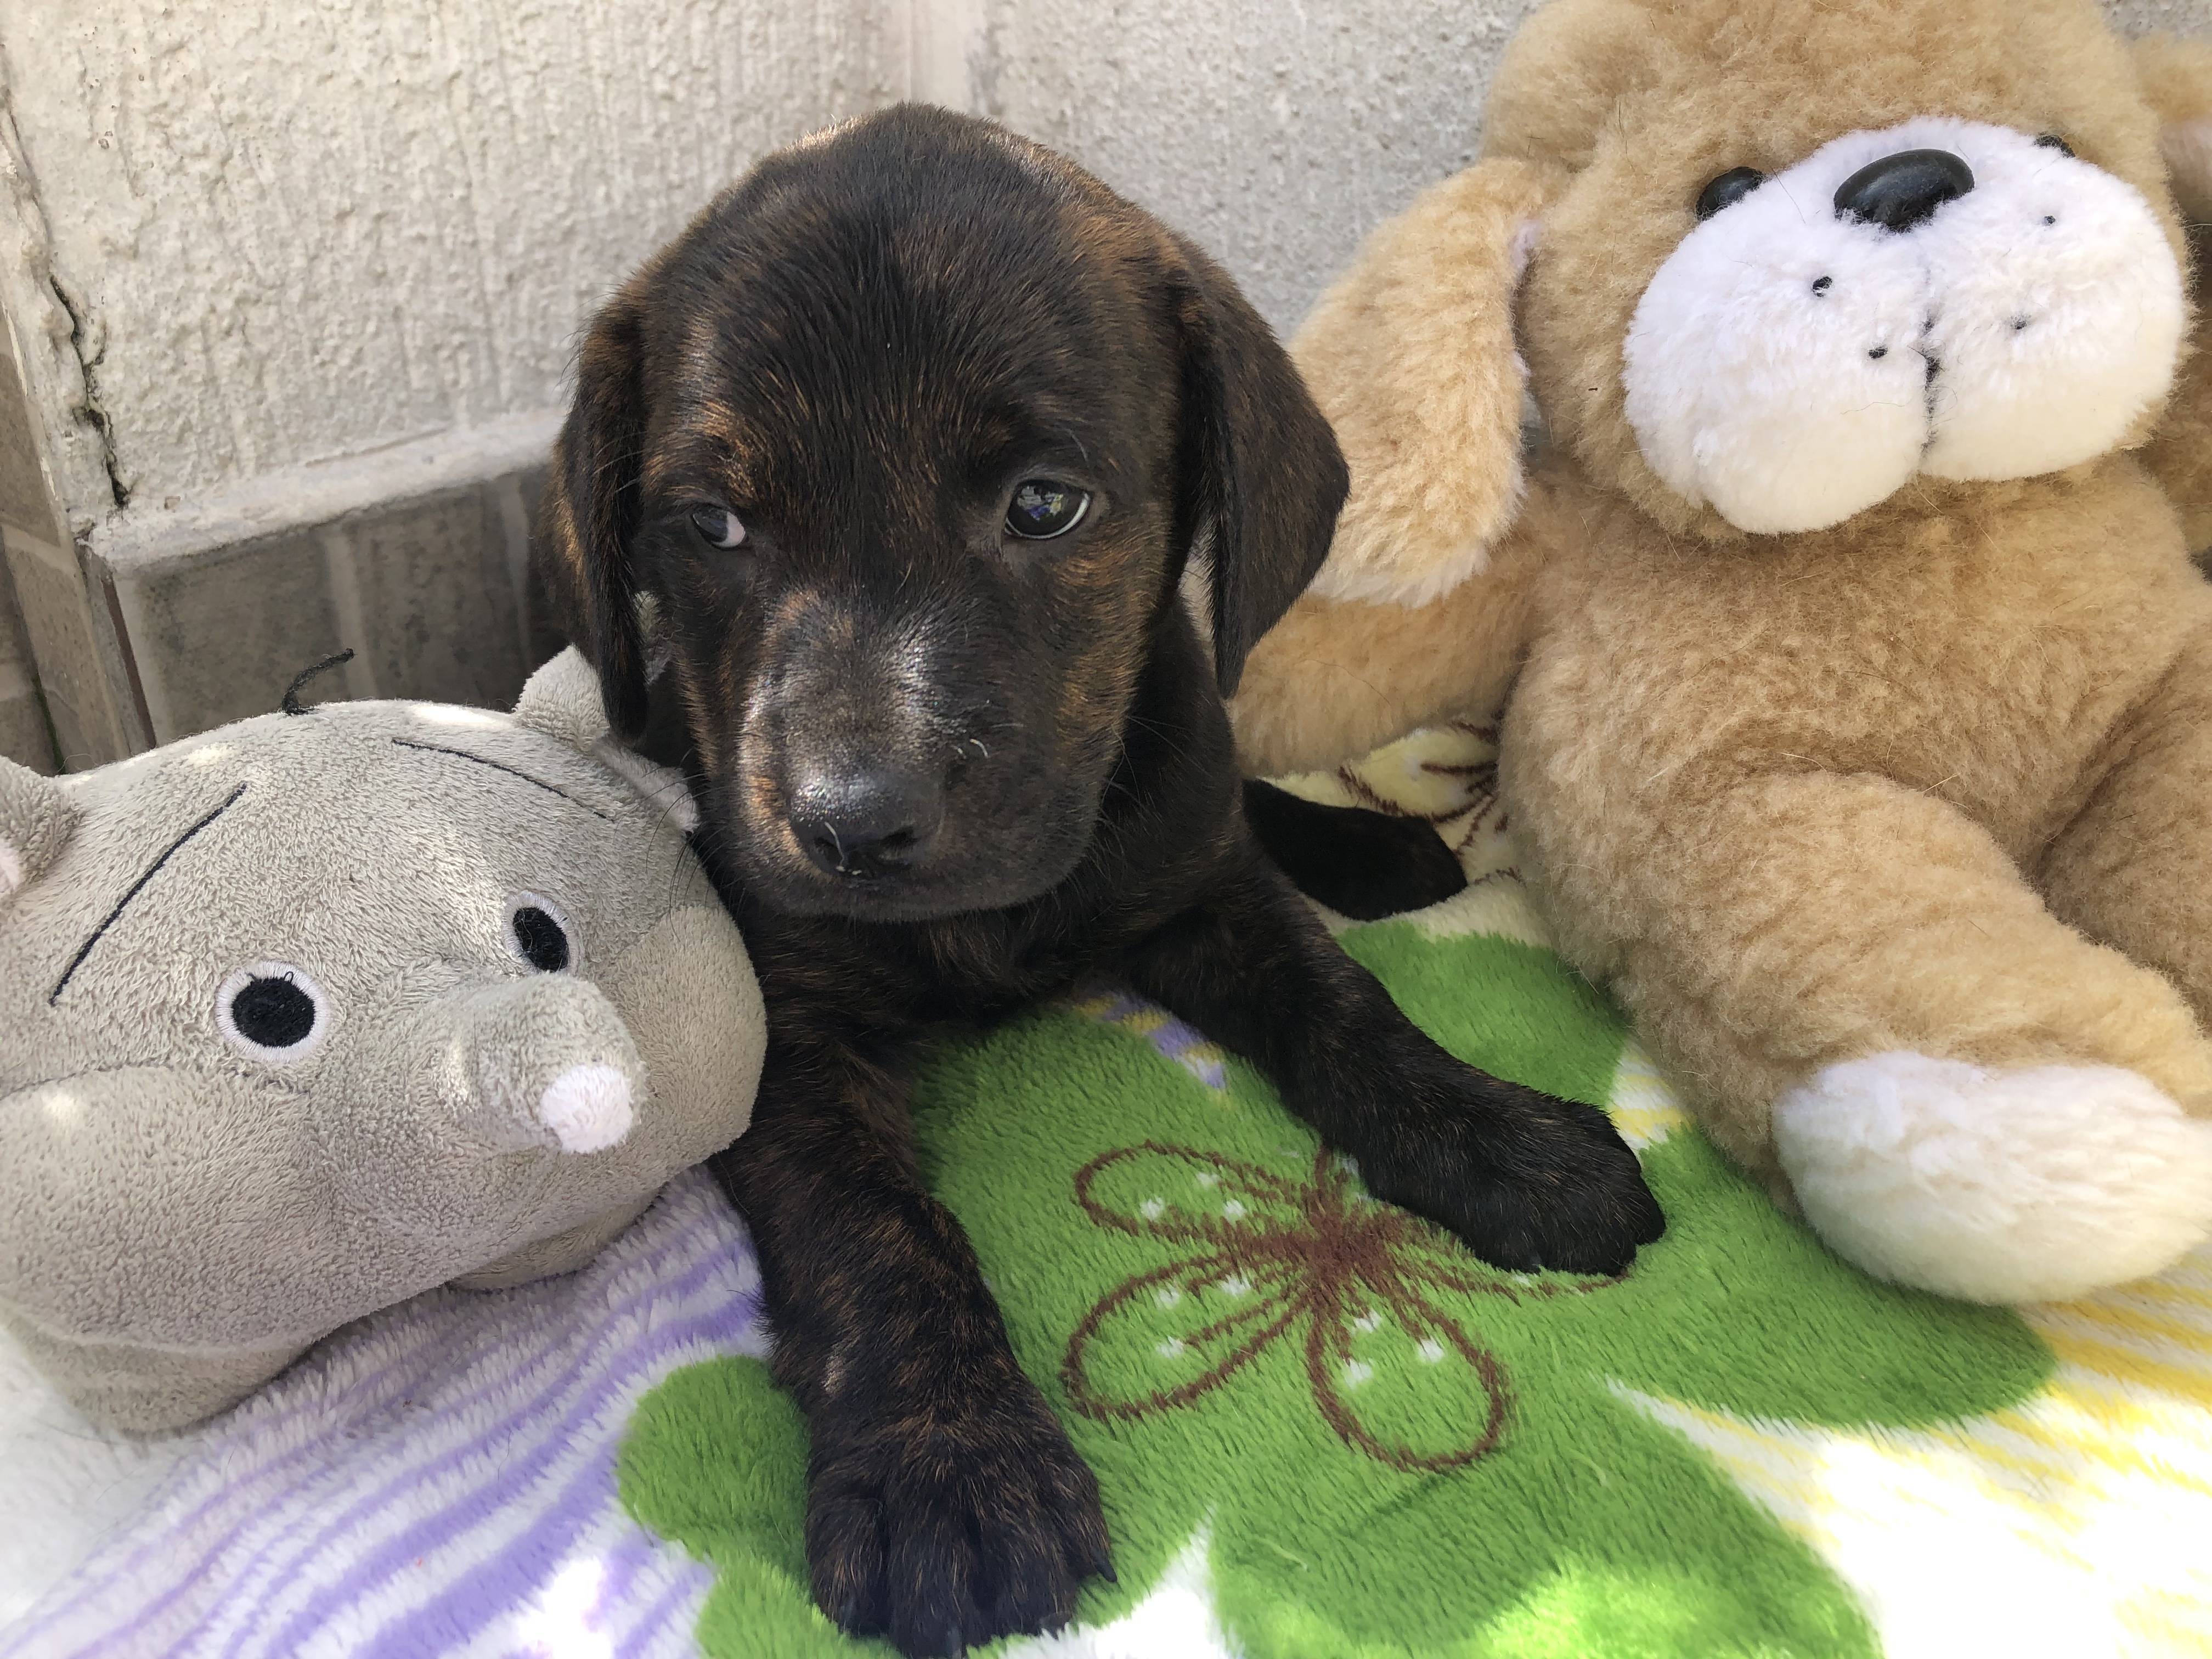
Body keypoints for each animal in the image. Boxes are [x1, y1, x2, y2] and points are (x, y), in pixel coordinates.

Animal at [532, 104, 1663, 1657]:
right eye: (710, 528)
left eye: (1045, 506)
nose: (850, 825)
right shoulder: (785, 1017)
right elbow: (871, 1224)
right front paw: (950, 1465)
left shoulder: (1210, 896)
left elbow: (1347, 1010)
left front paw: (1500, 1136)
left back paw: (1375, 849)